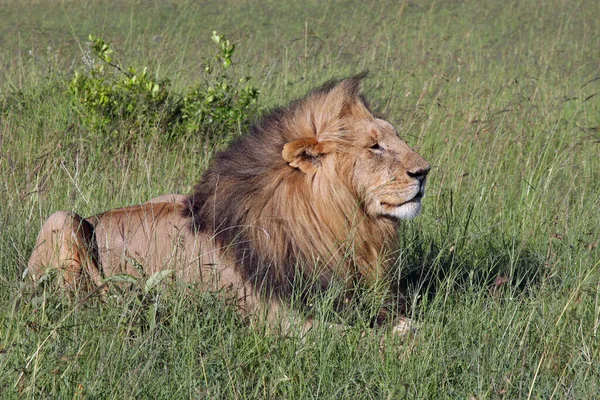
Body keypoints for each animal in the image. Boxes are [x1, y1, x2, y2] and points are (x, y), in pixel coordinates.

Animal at [27, 74, 432, 334]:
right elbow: (367, 339)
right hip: (63, 220)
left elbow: (408, 325)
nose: (425, 171)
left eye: (395, 137)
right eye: (374, 146)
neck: (343, 226)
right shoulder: (279, 319)